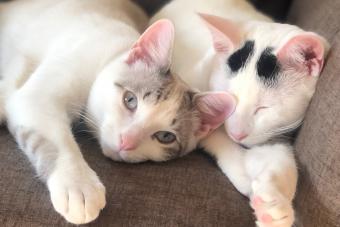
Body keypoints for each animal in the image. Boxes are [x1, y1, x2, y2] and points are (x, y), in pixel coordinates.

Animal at [0, 0, 236, 223]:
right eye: (130, 100)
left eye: (165, 137)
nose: (126, 141)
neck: (107, 57)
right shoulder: (38, 95)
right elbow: (55, 136)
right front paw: (77, 185)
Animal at [151, 0, 330, 226]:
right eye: (229, 99)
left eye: (263, 108)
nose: (237, 134)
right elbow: (215, 137)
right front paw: (243, 173)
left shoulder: (276, 135)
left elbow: (283, 162)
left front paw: (274, 208)